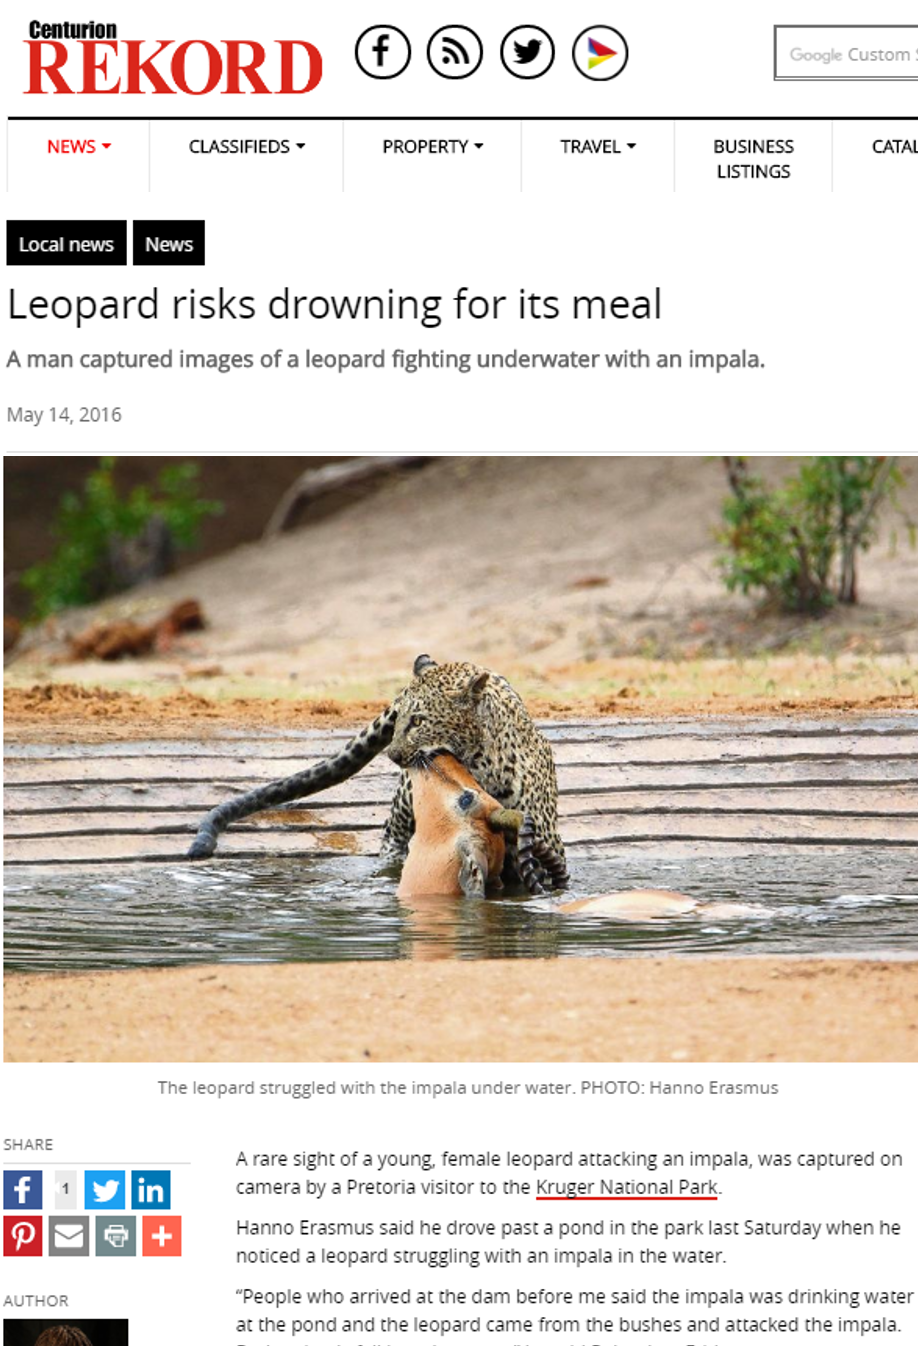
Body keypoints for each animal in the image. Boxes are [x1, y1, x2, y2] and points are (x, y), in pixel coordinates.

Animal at [186, 654, 567, 882]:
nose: (393, 755)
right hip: (403, 805)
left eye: (419, 721)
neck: (479, 765)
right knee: (392, 836)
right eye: (400, 719)